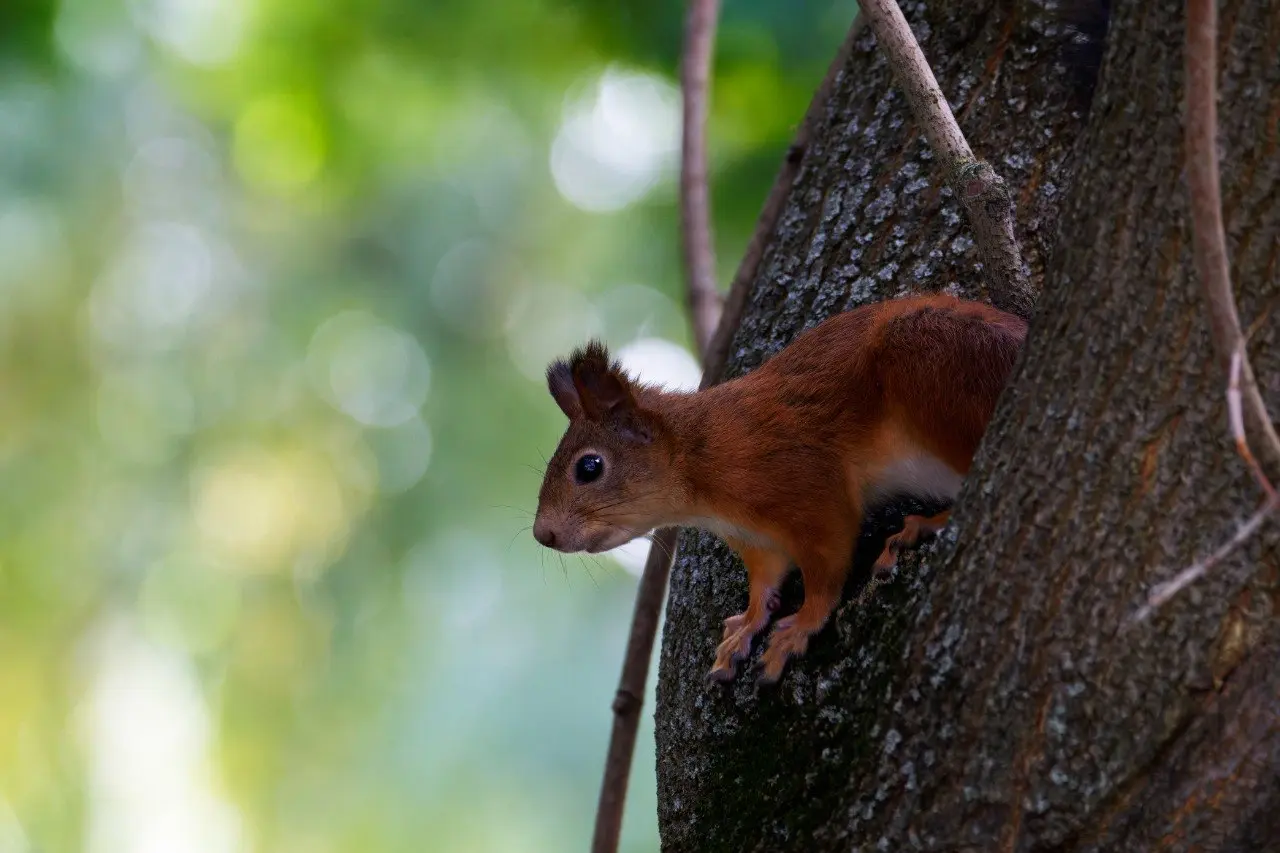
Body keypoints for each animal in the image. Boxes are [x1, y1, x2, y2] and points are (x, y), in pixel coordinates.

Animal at [533, 293, 1026, 684]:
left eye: (589, 467)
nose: (544, 534)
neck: (699, 460)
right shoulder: (757, 541)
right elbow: (765, 581)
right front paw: (746, 627)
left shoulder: (810, 491)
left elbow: (827, 566)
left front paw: (802, 625)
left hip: (931, 367)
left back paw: (922, 524)